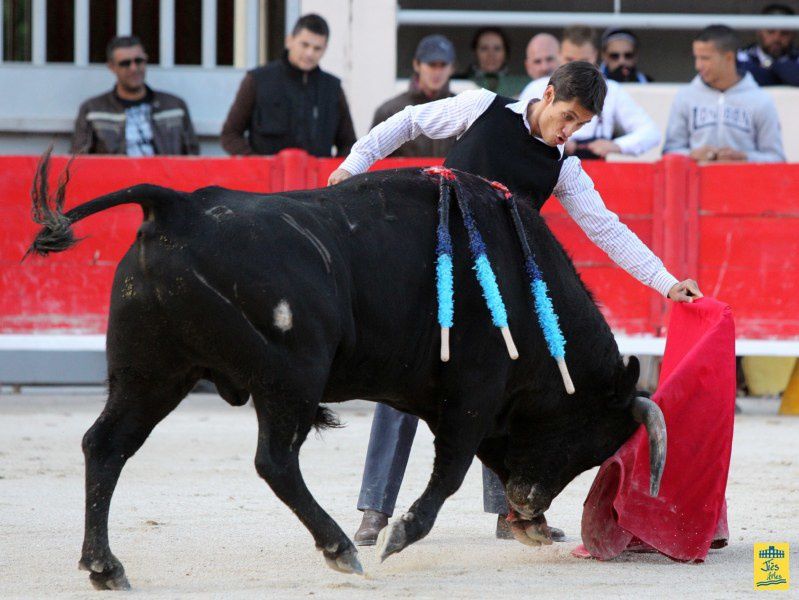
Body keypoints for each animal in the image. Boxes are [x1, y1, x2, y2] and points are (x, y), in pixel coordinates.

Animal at [25, 155, 664, 592]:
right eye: (586, 440)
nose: (530, 506)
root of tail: (178, 205)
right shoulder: (474, 395)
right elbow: (451, 472)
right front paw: (400, 536)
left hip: (152, 374)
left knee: (106, 446)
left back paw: (105, 567)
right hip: (289, 378)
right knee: (275, 461)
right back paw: (339, 547)